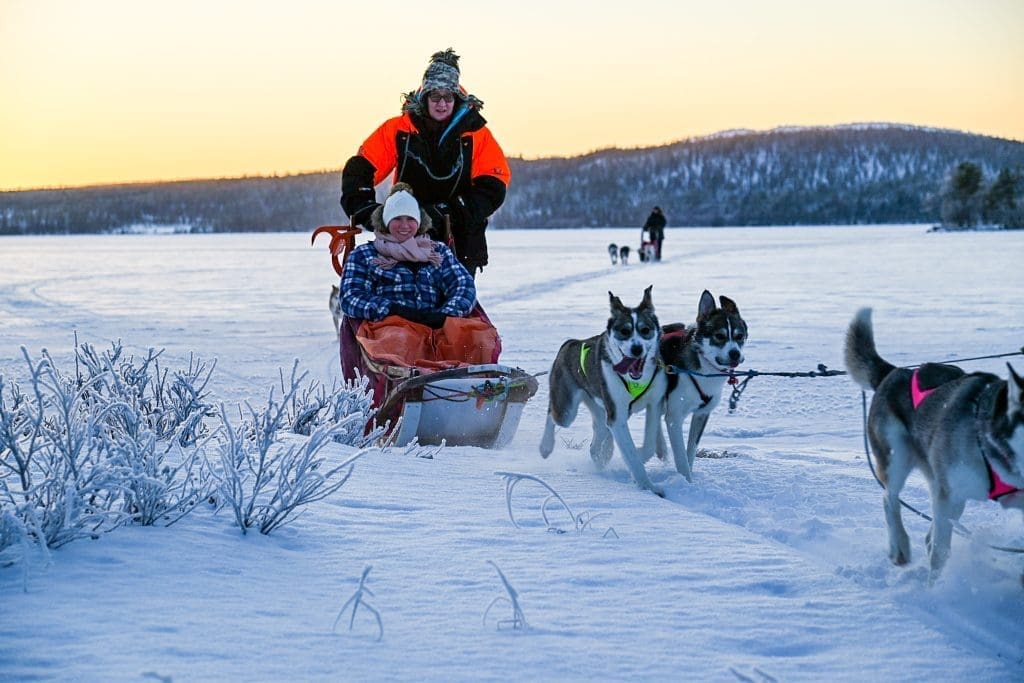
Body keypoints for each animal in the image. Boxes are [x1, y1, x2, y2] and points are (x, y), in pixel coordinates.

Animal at [540, 286, 667, 493]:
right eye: (624, 331)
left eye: (645, 330)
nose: (637, 349)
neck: (636, 380)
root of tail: (569, 343)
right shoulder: (617, 416)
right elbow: (630, 453)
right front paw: (647, 485)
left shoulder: (654, 404)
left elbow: (648, 443)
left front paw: (640, 456)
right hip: (567, 410)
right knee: (553, 414)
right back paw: (546, 447)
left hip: (600, 407)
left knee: (598, 437)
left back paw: (602, 456)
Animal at [655, 290, 745, 481]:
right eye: (719, 336)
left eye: (739, 336)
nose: (735, 353)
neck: (705, 372)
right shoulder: (674, 417)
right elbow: (681, 458)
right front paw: (686, 483)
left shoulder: (702, 414)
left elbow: (690, 452)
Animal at [843, 309, 1019, 581]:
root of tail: (897, 372)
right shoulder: (948, 495)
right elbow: (939, 553)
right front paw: (934, 588)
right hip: (898, 458)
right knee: (890, 498)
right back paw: (899, 546)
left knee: (927, 533)